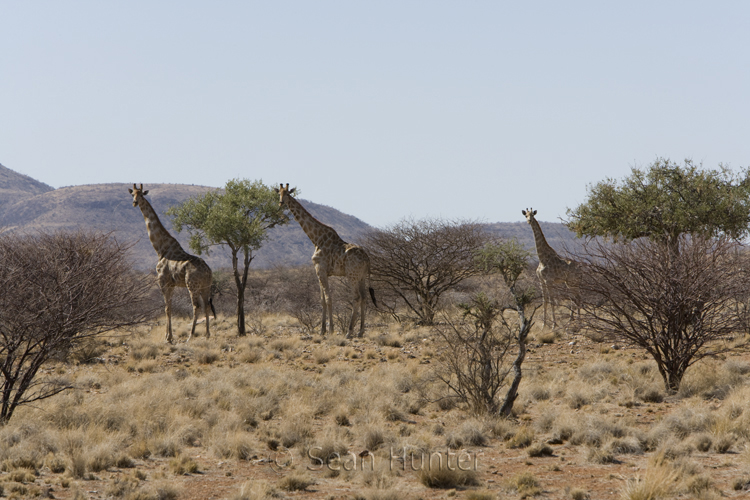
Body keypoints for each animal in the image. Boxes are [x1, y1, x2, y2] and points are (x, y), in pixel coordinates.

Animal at [129, 184, 216, 343]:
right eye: (133, 194)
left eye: (141, 194)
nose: (135, 203)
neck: (160, 248)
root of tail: (208, 271)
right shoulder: (172, 284)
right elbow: (169, 306)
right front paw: (169, 336)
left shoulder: (163, 281)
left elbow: (167, 308)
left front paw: (168, 337)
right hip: (206, 286)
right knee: (207, 305)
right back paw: (207, 334)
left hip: (192, 285)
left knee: (196, 306)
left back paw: (190, 336)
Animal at [276, 183, 377, 338]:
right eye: (278, 193)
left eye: (287, 193)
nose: (281, 203)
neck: (316, 239)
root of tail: (367, 259)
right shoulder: (320, 272)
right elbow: (322, 300)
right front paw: (322, 330)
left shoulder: (320, 269)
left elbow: (328, 298)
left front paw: (330, 330)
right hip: (362, 276)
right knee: (365, 297)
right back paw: (360, 331)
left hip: (352, 275)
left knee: (356, 297)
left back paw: (349, 331)